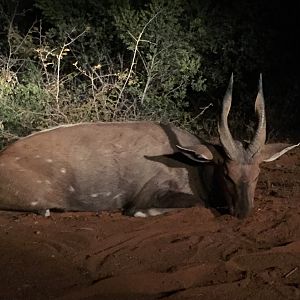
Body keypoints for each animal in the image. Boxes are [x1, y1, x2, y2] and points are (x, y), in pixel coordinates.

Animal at [0, 74, 298, 218]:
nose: (243, 213)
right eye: (227, 174)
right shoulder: (148, 195)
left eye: (257, 175)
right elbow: (194, 204)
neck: (194, 167)